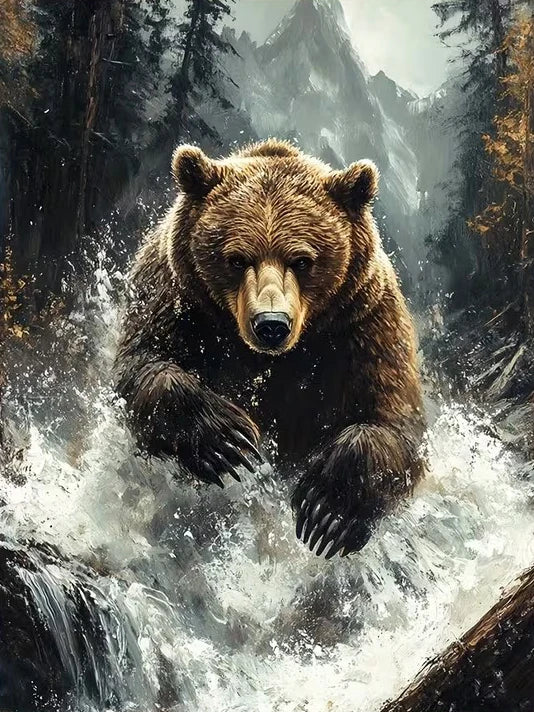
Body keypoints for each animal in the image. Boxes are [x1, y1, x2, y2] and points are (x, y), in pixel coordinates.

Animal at [114, 139, 425, 559]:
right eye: (235, 258)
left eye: (303, 260)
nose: (272, 325)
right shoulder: (177, 297)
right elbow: (143, 366)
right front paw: (227, 440)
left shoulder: (363, 323)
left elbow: (395, 423)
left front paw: (328, 511)